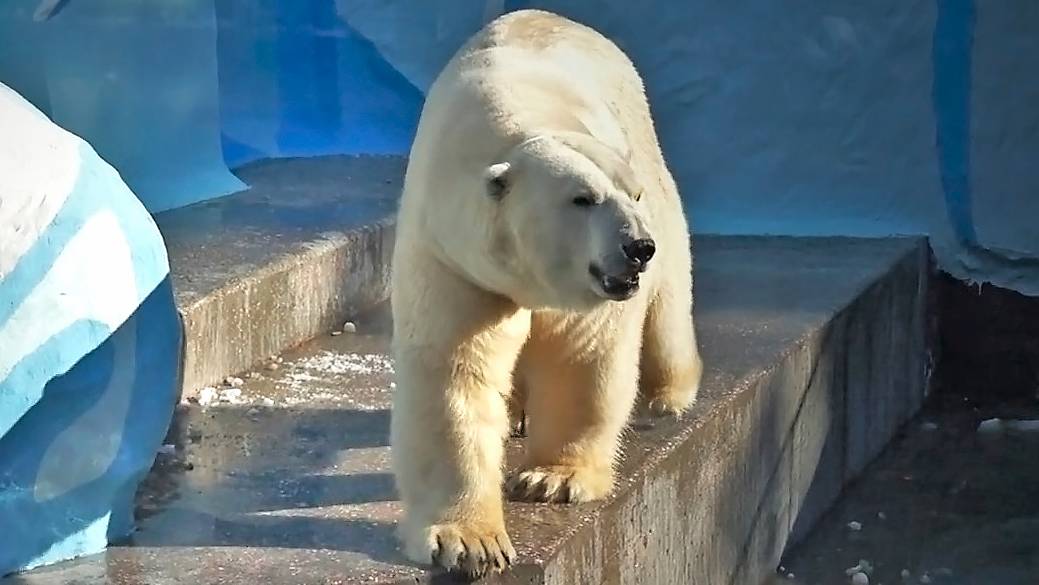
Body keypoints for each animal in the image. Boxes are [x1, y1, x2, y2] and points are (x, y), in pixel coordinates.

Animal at [389, 9, 703, 579]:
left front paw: (551, 479)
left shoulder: (589, 287)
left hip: (655, 170)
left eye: (630, 194)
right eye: (583, 198)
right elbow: (455, 373)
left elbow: (581, 355)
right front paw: (470, 542)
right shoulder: (451, 256)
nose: (636, 248)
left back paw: (668, 394)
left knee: (670, 302)